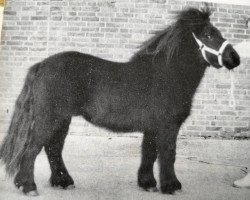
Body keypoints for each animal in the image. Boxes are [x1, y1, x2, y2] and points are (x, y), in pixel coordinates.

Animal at [0, 7, 240, 195]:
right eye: (209, 35)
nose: (235, 59)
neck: (166, 75)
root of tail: (41, 65)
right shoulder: (168, 126)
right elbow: (168, 154)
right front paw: (171, 186)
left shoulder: (152, 127)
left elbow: (149, 153)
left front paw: (148, 183)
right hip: (49, 118)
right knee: (32, 148)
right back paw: (28, 186)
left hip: (62, 119)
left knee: (53, 148)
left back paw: (62, 182)